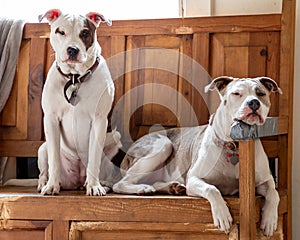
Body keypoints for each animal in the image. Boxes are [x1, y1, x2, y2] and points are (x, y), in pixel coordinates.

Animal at [37, 9, 120, 196]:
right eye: (60, 31)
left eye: (85, 33)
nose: (72, 49)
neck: (75, 77)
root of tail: (75, 182)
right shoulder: (51, 119)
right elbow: (54, 159)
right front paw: (52, 186)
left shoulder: (99, 120)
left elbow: (94, 158)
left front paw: (94, 186)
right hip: (42, 149)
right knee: (44, 169)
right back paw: (44, 183)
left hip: (114, 141)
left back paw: (101, 183)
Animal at [113, 77, 282, 236]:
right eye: (236, 93)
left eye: (261, 94)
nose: (254, 102)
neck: (234, 146)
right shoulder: (194, 178)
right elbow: (212, 189)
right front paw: (222, 214)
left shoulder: (264, 180)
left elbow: (274, 193)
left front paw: (270, 220)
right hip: (163, 145)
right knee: (119, 184)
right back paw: (142, 188)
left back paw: (173, 187)